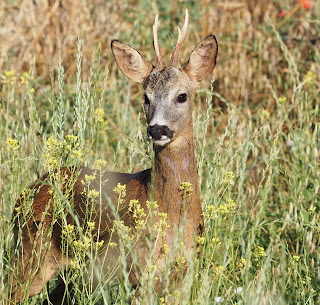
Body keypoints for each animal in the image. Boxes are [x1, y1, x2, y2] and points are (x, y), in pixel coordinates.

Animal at [8, 9, 218, 304]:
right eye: (146, 97)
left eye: (182, 96)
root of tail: (26, 193)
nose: (157, 129)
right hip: (32, 253)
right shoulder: (139, 271)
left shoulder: (184, 274)